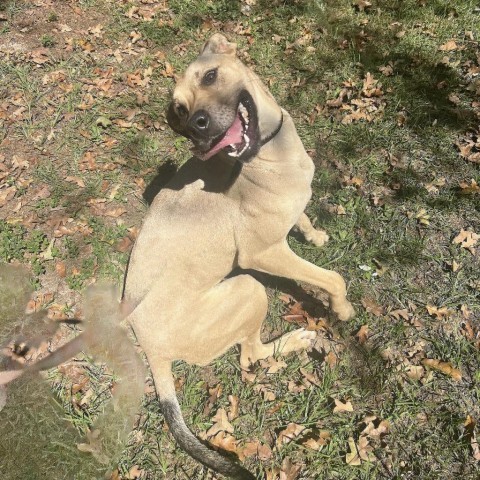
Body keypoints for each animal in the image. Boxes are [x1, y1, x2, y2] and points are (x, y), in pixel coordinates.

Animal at [0, 34, 352, 480]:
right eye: (180, 110)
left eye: (211, 75)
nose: (196, 125)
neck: (270, 152)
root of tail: (150, 349)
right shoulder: (263, 254)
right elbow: (333, 277)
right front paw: (342, 309)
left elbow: (303, 218)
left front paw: (316, 234)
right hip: (249, 287)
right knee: (250, 357)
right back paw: (296, 339)